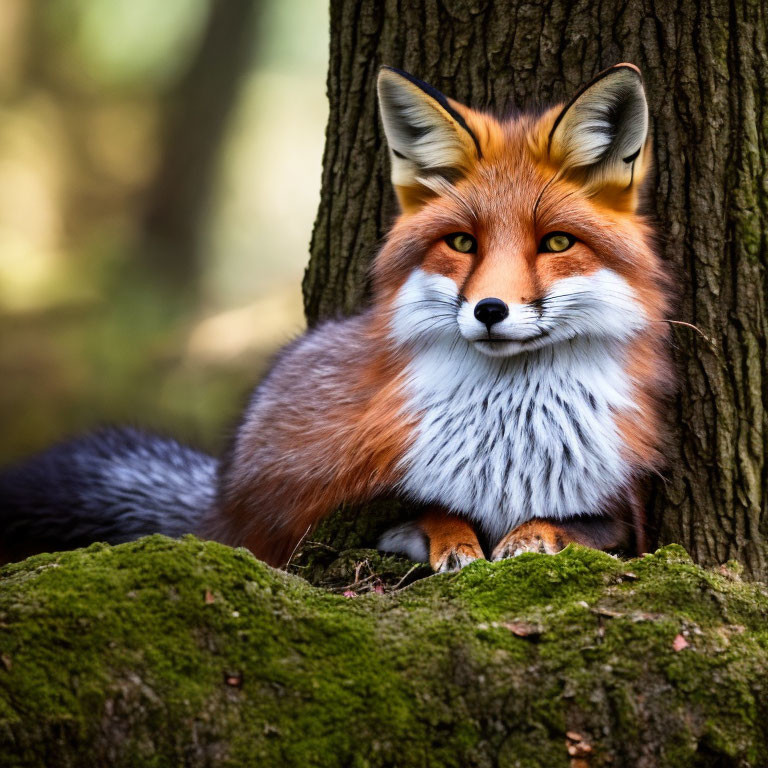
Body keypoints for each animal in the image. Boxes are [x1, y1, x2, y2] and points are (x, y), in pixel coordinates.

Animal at [0, 66, 672, 568]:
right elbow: (434, 513)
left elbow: (565, 524)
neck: (510, 440)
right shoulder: (364, 504)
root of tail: (221, 496)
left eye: (556, 243)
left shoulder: (625, 519)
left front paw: (529, 535)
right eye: (461, 243)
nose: (489, 310)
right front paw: (456, 542)